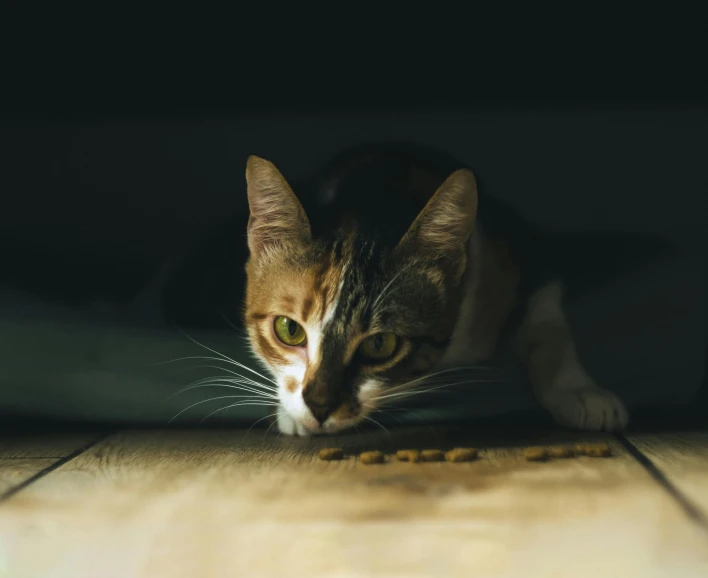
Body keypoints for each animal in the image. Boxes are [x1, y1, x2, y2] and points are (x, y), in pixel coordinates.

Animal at [241, 142, 628, 434]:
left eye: (380, 344)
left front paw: (579, 391)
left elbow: (548, 323)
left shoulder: (514, 255)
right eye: (289, 329)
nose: (319, 408)